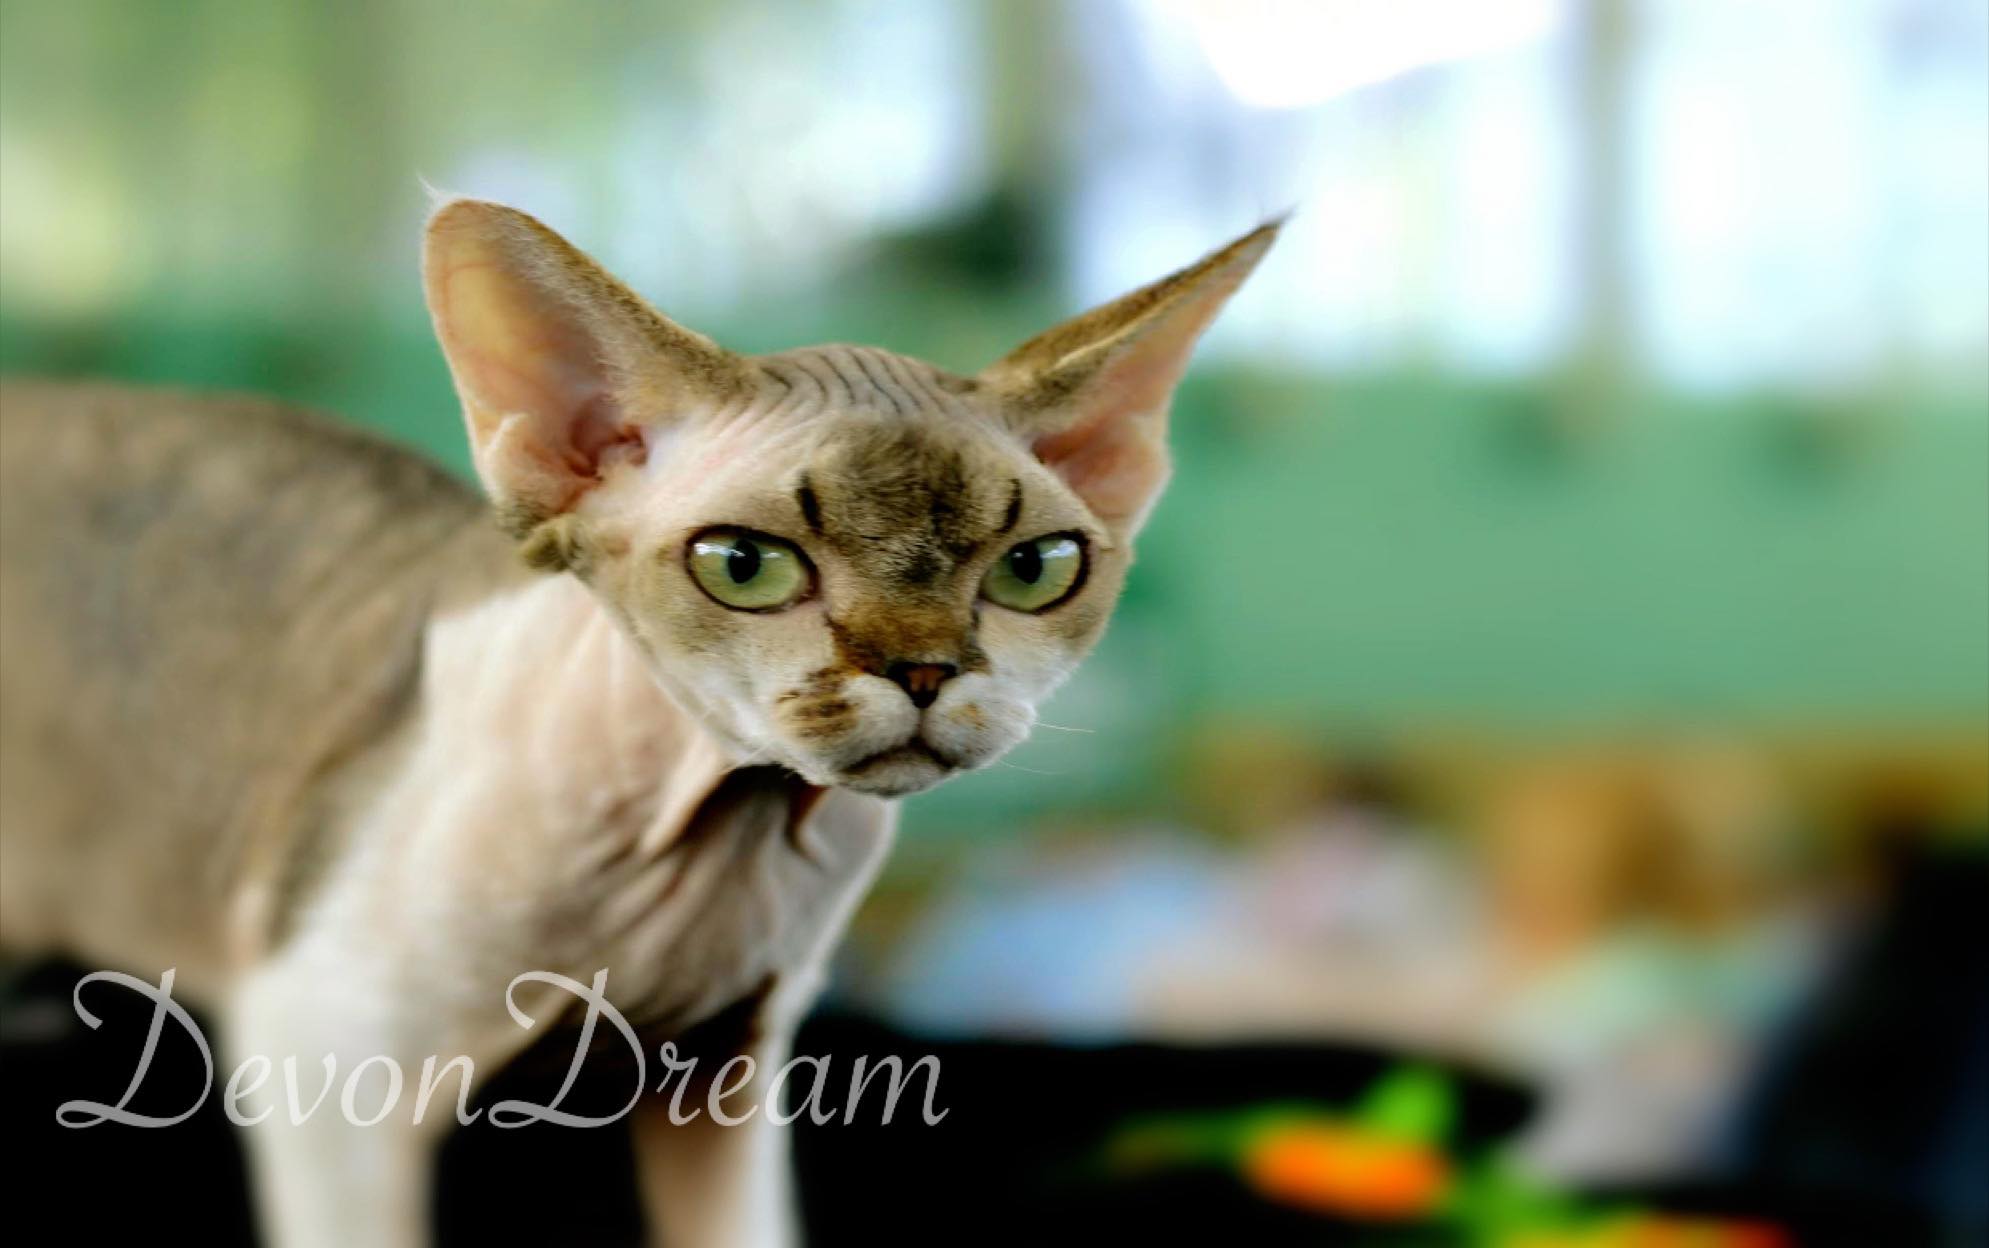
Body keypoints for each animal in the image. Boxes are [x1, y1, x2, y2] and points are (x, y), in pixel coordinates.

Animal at [0, 196, 1276, 1246]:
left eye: (1034, 568)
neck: (716, 841)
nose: (923, 670)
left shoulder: (732, 1068)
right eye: (745, 567)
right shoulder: (323, 1054)